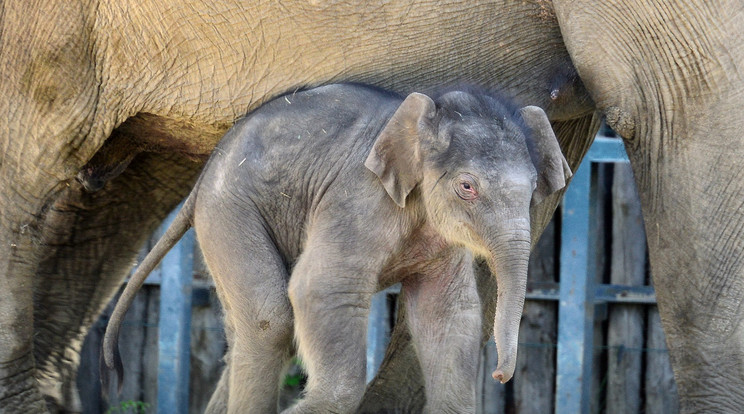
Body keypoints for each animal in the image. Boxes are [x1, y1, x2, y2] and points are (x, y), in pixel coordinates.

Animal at [103, 82, 568, 412]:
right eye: (467, 186)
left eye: (533, 190)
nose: (500, 377)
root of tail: (200, 181)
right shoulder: (356, 199)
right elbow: (321, 289)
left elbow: (448, 311)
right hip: (229, 212)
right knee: (269, 320)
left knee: (244, 328)